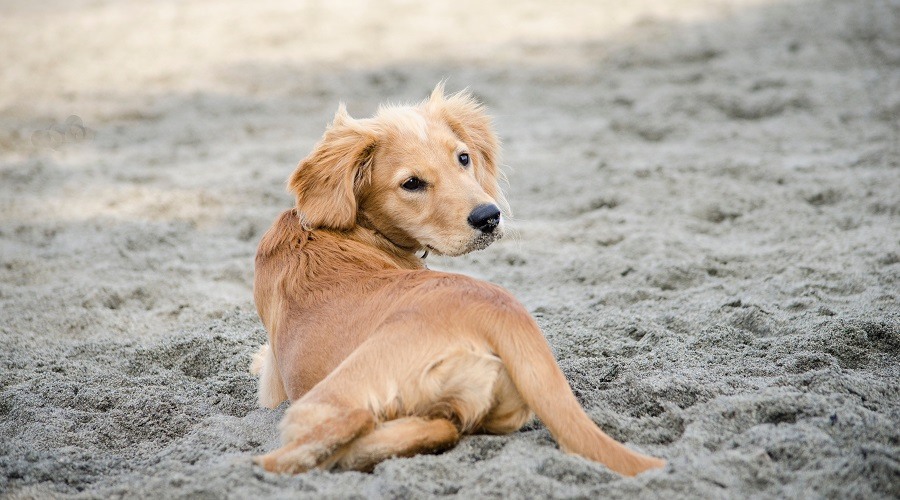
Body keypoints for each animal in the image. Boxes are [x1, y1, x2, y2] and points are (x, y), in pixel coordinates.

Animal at [250, 84, 664, 474]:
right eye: (411, 183)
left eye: (463, 157)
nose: (489, 217)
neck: (338, 228)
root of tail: (499, 312)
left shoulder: (272, 381)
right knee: (439, 427)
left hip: (330, 395)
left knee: (340, 426)